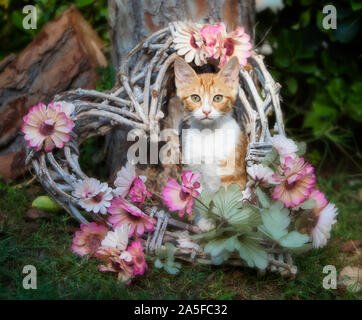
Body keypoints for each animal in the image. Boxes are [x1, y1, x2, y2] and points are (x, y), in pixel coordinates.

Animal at [174, 56, 247, 194]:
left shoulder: (232, 176)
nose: (206, 111)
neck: (208, 132)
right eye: (195, 98)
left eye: (218, 98)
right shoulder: (195, 170)